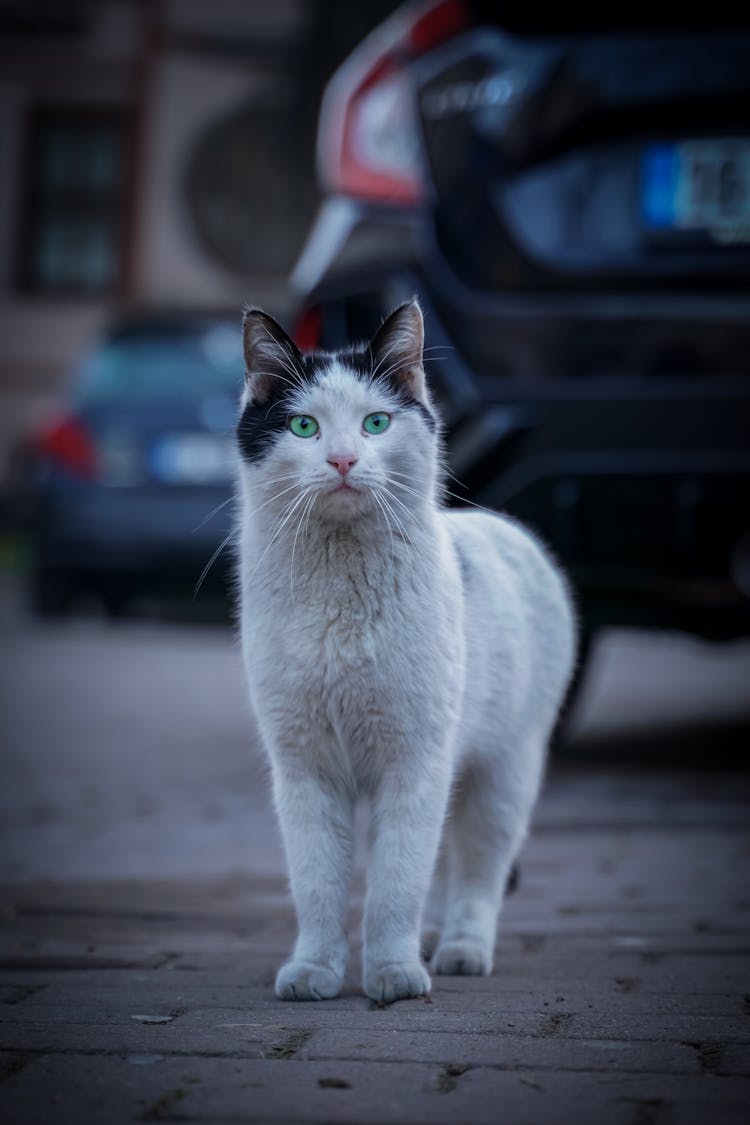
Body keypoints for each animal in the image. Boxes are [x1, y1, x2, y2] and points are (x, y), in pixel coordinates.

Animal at [237, 299, 580, 1003]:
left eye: (376, 422)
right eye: (304, 426)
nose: (343, 460)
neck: (339, 590)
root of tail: (505, 527)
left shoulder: (415, 760)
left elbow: (396, 880)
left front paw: (393, 976)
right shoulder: (304, 766)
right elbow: (317, 882)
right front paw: (314, 971)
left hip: (504, 772)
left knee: (476, 870)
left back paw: (460, 950)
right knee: (446, 865)